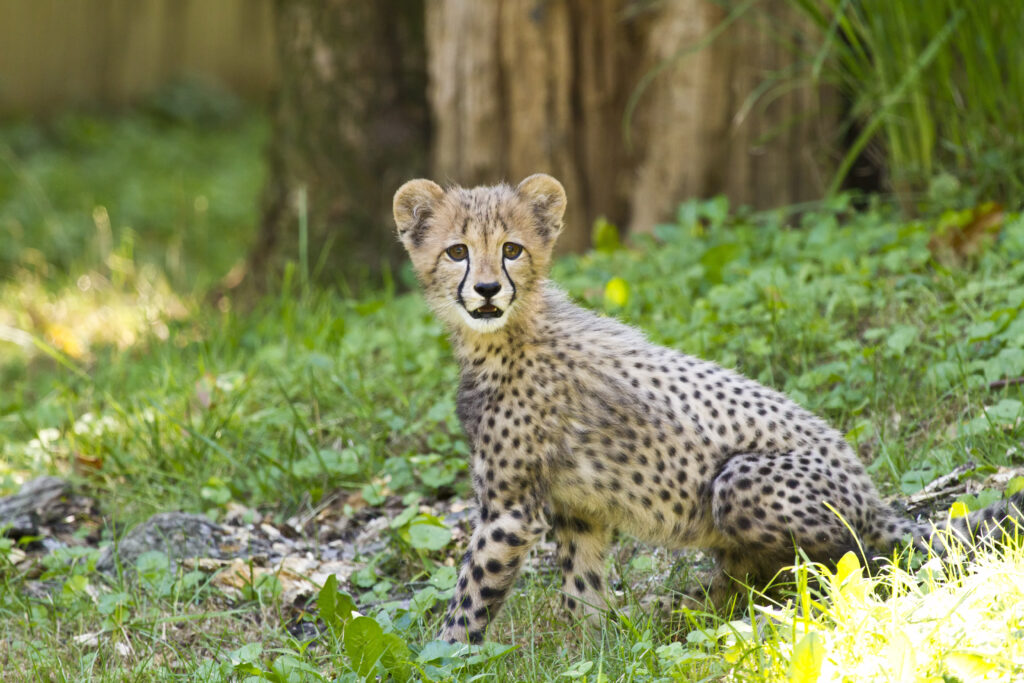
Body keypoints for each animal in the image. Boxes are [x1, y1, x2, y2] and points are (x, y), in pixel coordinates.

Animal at [391, 173, 1024, 645]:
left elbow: (470, 596)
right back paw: (699, 605)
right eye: (457, 252)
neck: (504, 337)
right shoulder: (577, 509)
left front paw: (442, 655)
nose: (488, 291)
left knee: (854, 561)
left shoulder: (508, 512)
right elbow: (581, 587)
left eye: (512, 250)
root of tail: (871, 496)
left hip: (740, 481)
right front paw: (594, 645)